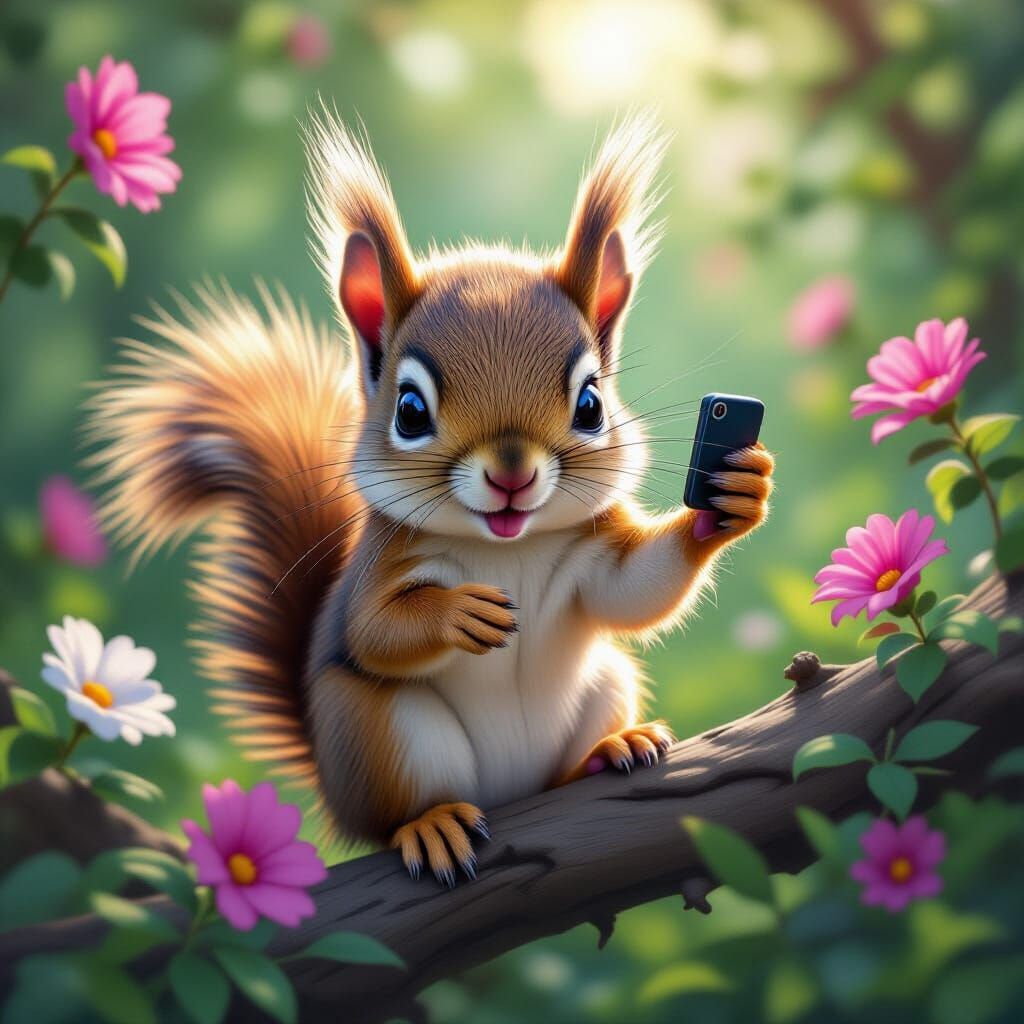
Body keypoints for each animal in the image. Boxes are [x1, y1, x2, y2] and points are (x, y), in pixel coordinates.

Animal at [88, 112, 774, 886]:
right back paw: (432, 824)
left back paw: (609, 751)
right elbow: (375, 631)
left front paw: (736, 493)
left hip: (605, 680)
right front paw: (458, 613)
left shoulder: (593, 553)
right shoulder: (380, 567)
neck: (507, 547)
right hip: (382, 733)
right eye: (410, 411)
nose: (512, 476)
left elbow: (634, 591)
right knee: (394, 810)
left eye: (592, 405)